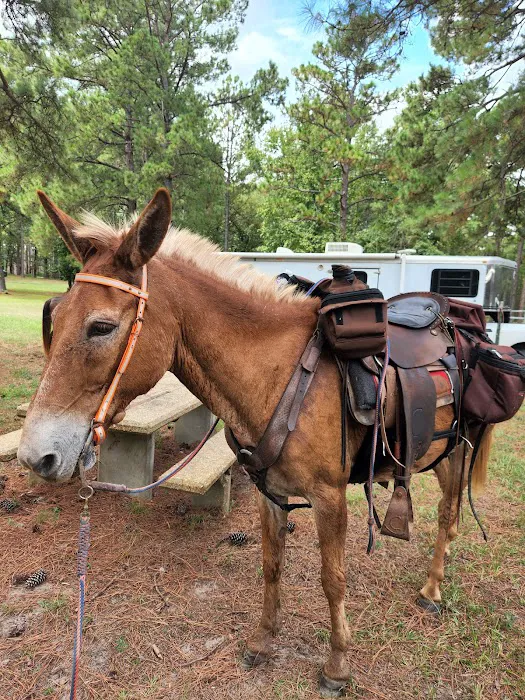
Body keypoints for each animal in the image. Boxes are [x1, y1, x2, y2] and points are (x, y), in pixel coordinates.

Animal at [18, 188, 493, 697]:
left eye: (102, 327)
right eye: (54, 315)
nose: (35, 455)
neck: (280, 374)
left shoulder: (329, 498)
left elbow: (333, 579)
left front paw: (337, 665)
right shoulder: (271, 492)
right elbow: (270, 565)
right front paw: (264, 640)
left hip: (458, 450)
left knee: (448, 514)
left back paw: (432, 589)